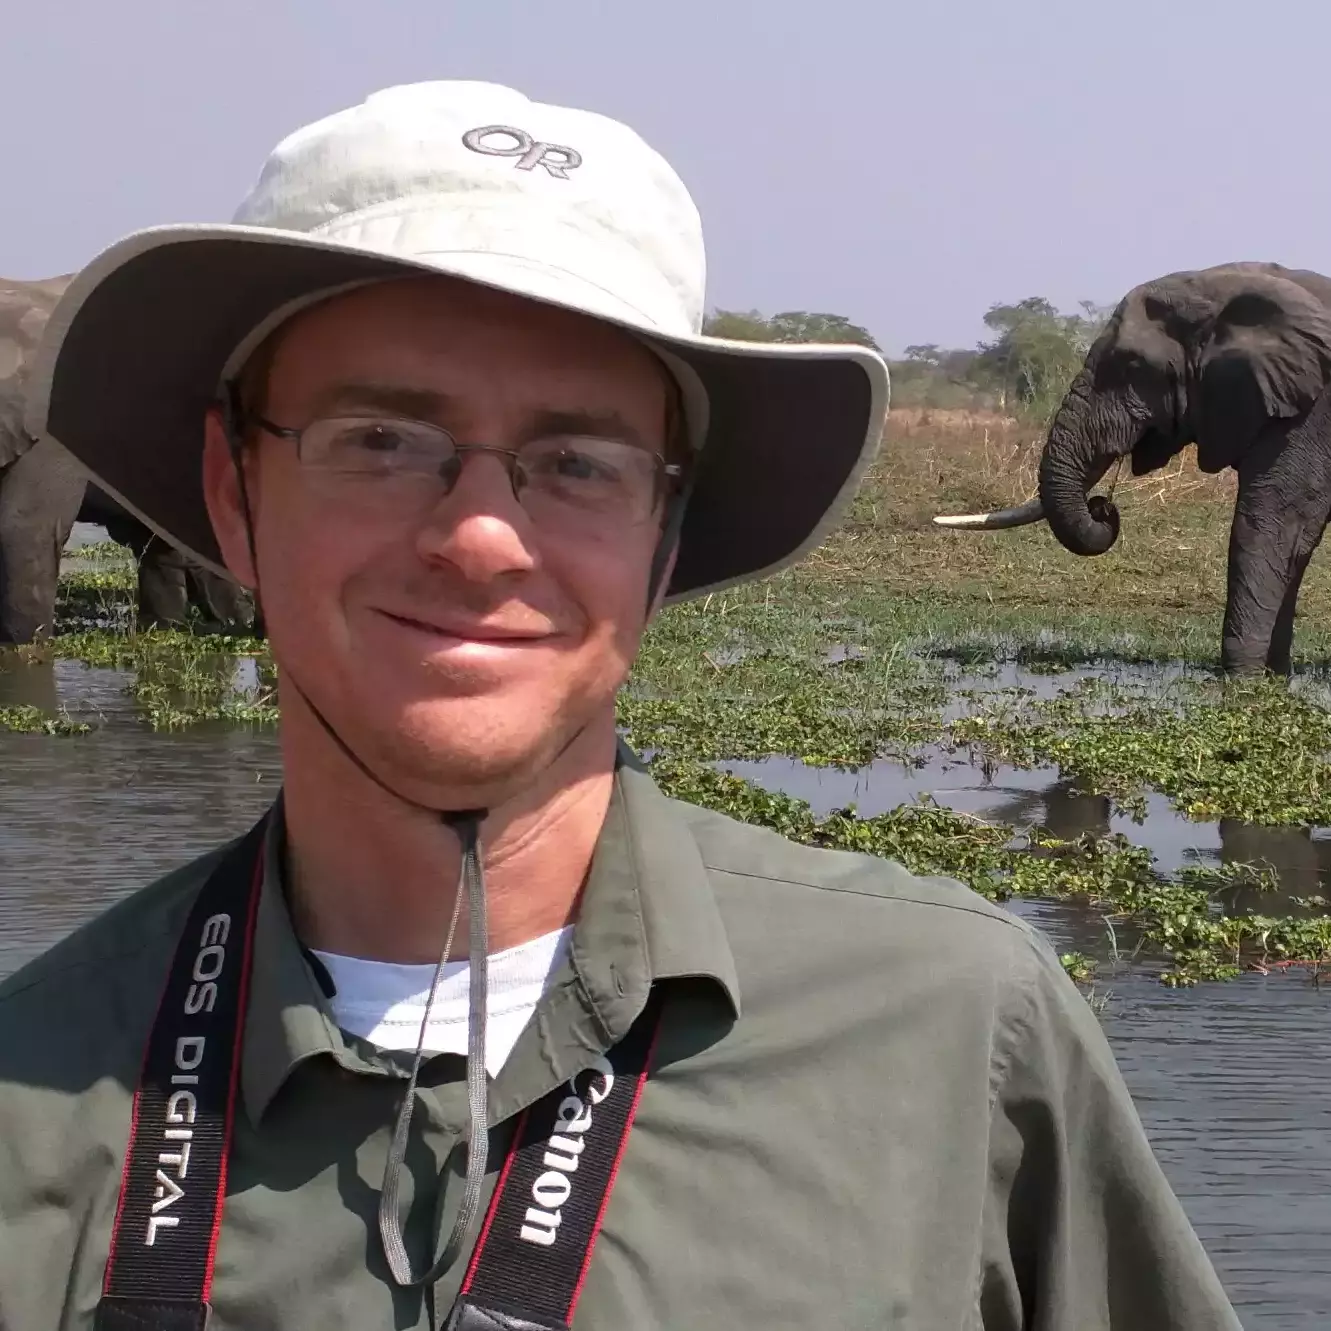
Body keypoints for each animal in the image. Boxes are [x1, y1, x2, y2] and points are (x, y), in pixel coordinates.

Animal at [934, 262, 1331, 676]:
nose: (1101, 506)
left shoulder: (1312, 415)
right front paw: (1273, 677)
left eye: (1133, 366)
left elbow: (1271, 523)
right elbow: (1296, 541)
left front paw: (1241, 678)